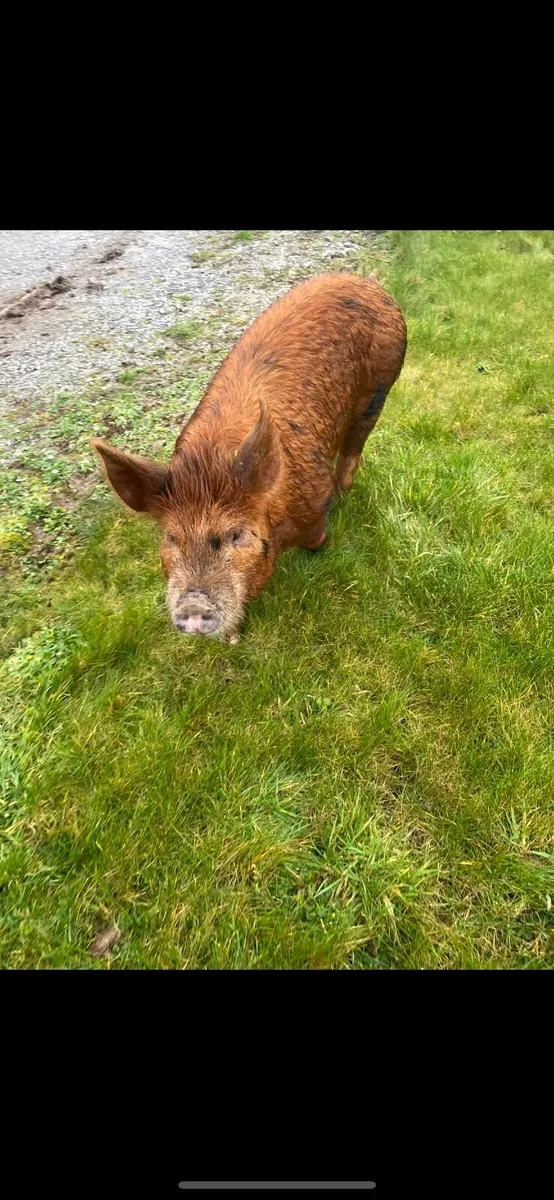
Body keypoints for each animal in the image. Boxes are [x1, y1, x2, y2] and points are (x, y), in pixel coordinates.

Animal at [91, 273, 407, 644]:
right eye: (171, 537)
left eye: (236, 534)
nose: (194, 606)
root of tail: (367, 283)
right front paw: (234, 637)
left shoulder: (316, 498)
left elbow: (317, 538)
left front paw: (322, 547)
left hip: (380, 388)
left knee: (353, 450)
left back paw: (345, 492)